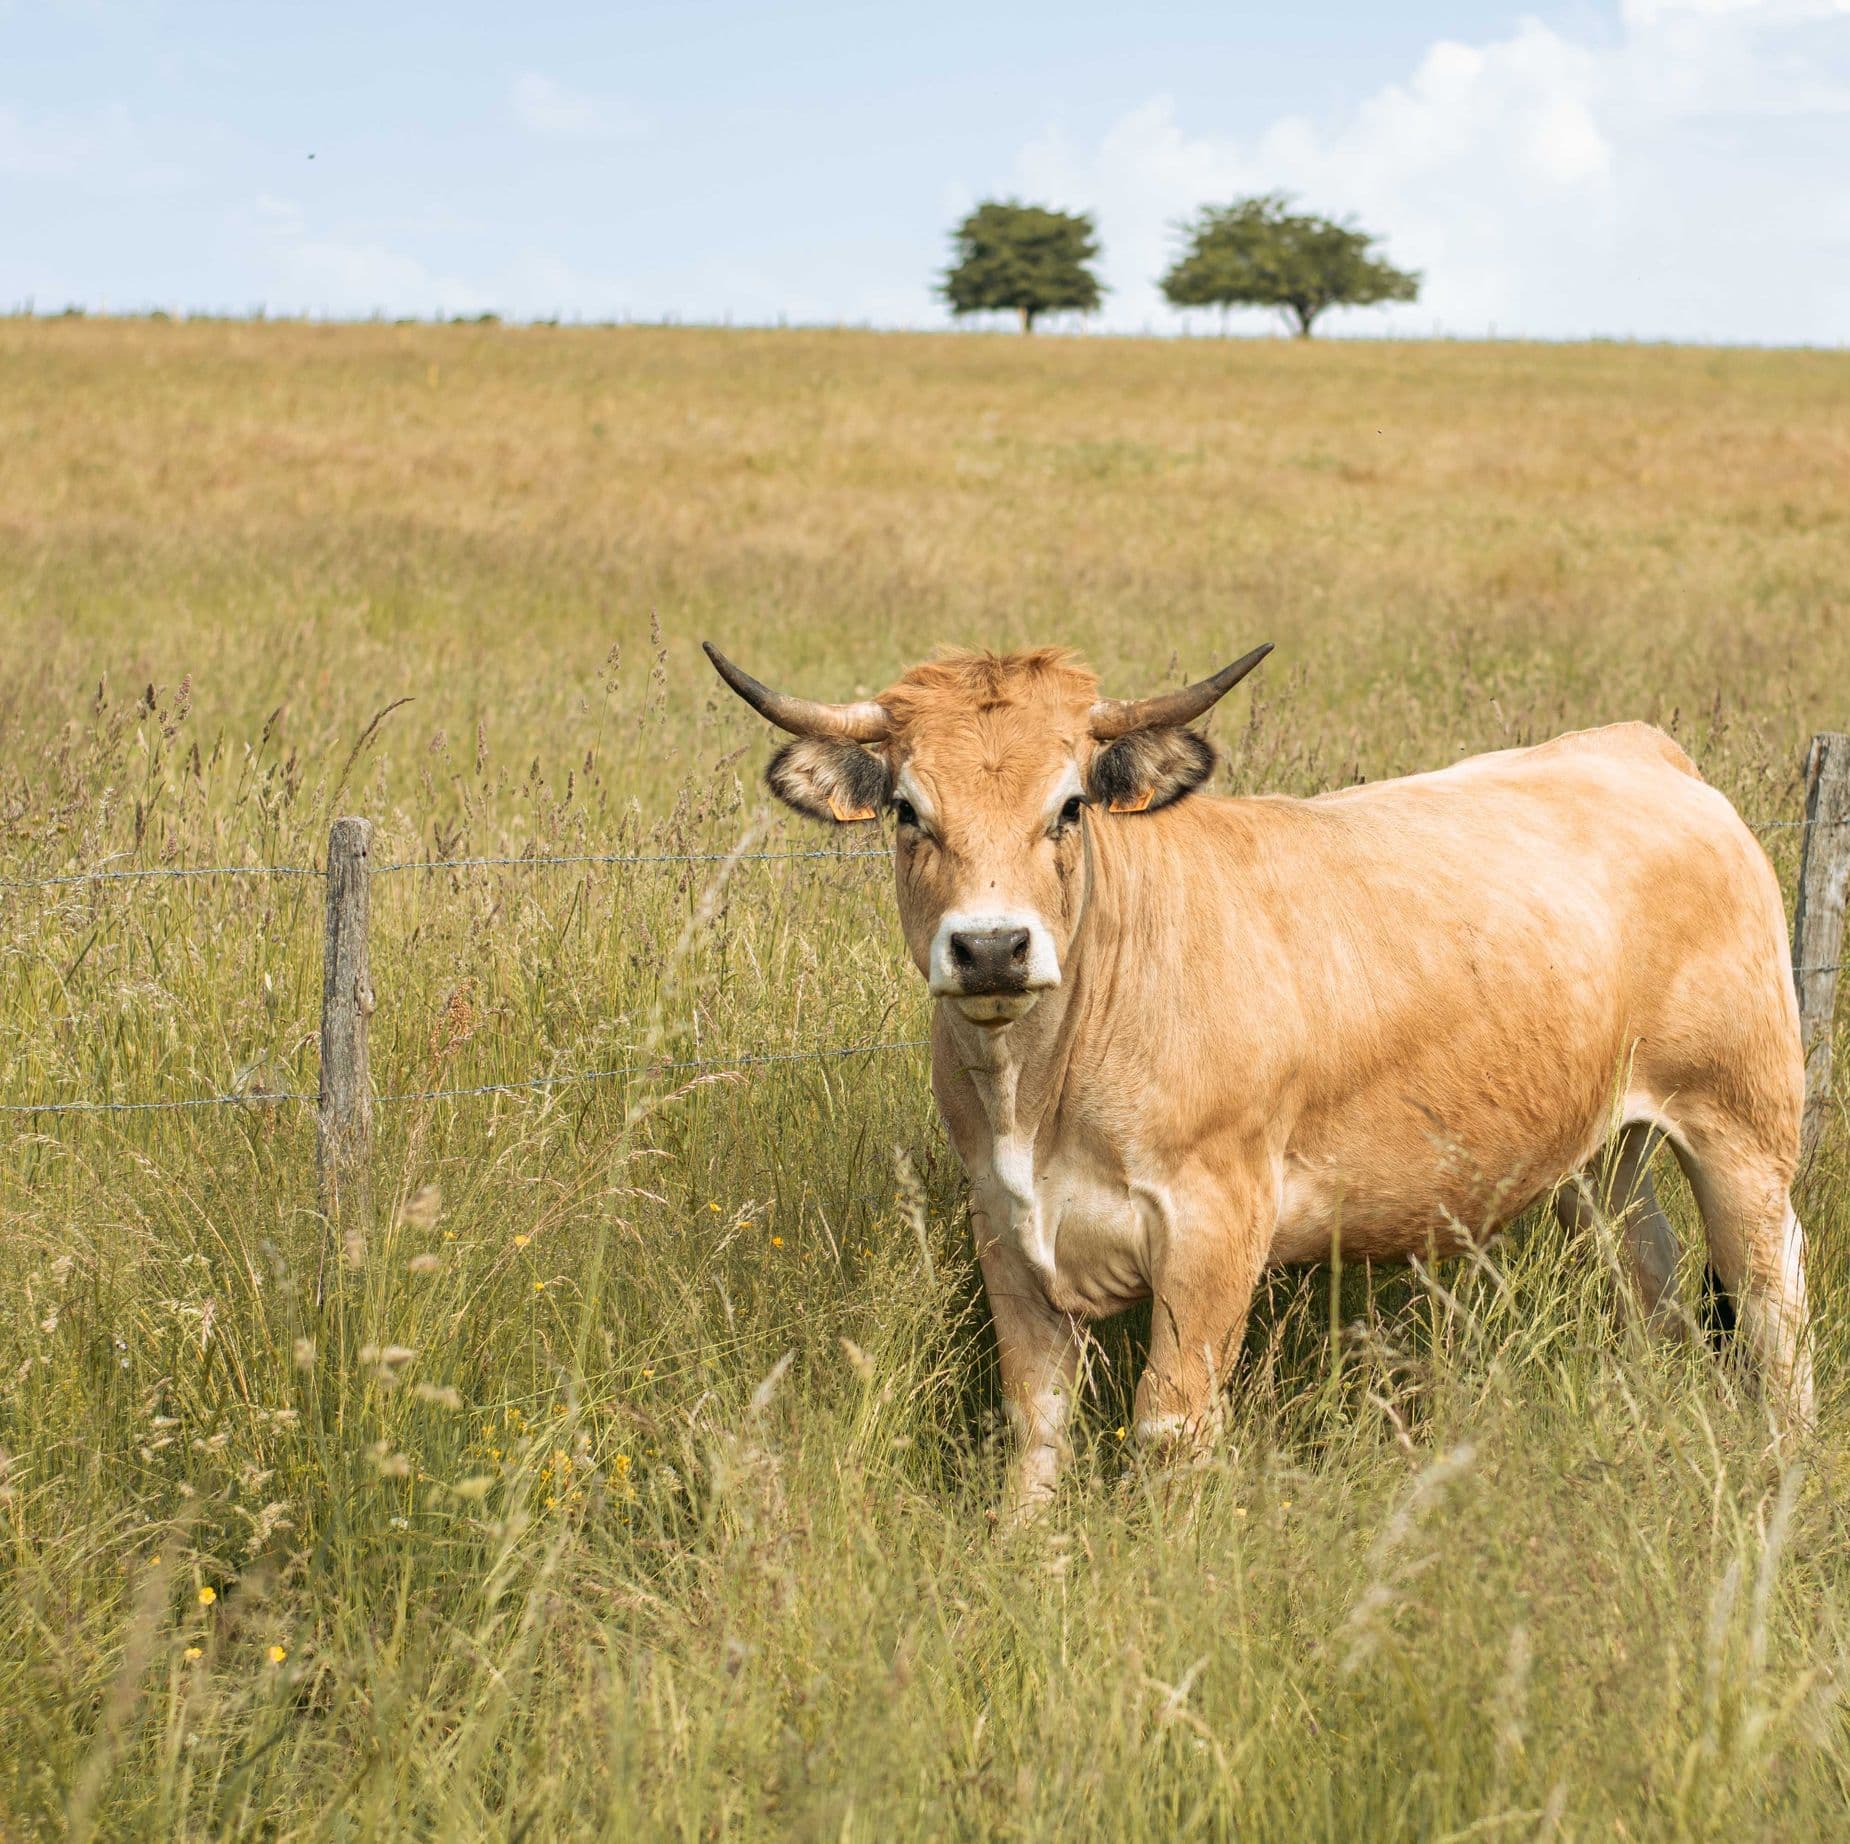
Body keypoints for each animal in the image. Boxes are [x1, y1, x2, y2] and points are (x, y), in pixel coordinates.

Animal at [705, 639, 1814, 1516]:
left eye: (1069, 807)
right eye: (905, 809)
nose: (988, 947)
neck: (1040, 1091)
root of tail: (1633, 748)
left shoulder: (1212, 1224)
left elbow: (1170, 1428)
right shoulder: (1005, 1226)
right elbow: (1036, 1425)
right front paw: (1025, 1561)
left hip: (1743, 1122)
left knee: (1772, 1298)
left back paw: (1786, 1467)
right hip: (1601, 1153)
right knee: (1653, 1281)